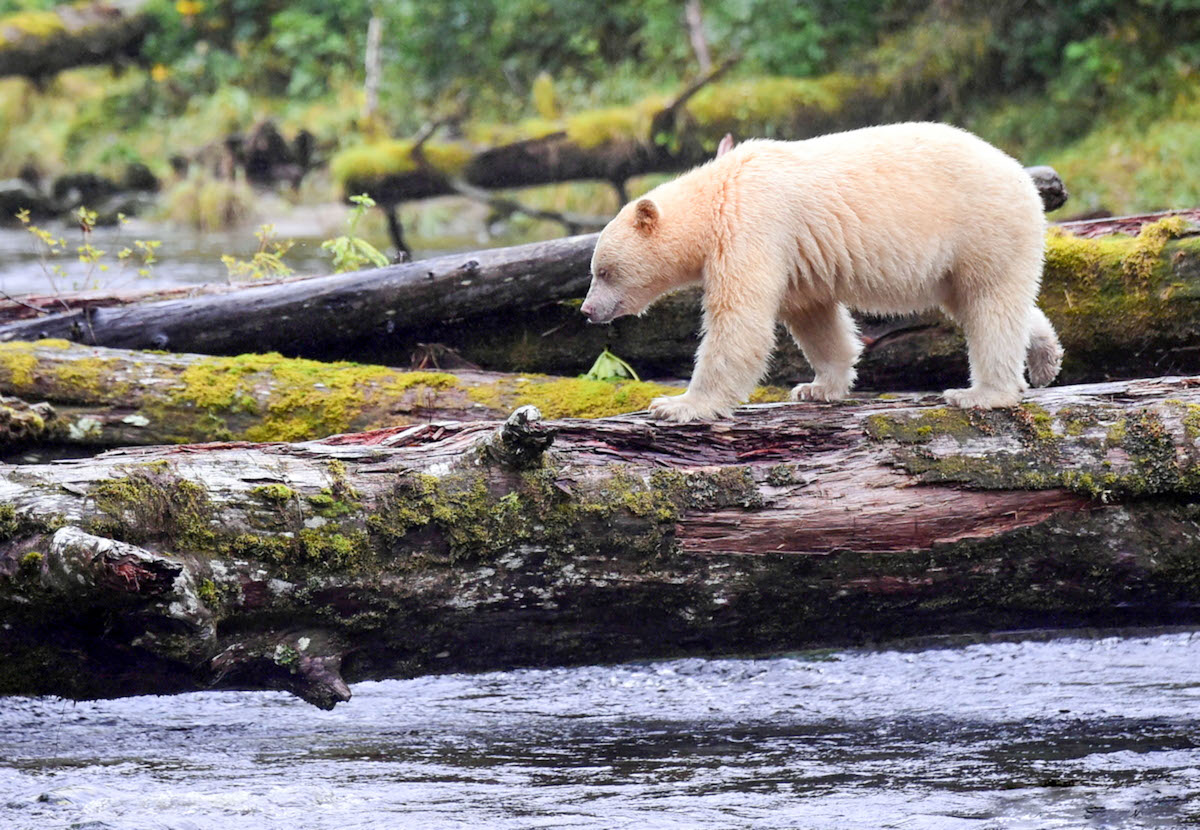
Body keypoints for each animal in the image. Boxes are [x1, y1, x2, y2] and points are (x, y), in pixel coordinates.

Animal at [578, 121, 1060, 422]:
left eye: (603, 271)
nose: (586, 310)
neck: (718, 192)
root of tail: (1022, 175)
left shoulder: (752, 227)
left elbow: (740, 322)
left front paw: (677, 404)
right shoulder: (794, 255)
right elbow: (813, 315)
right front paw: (818, 387)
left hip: (982, 227)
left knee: (989, 304)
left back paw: (981, 394)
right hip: (963, 255)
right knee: (984, 303)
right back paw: (1044, 358)